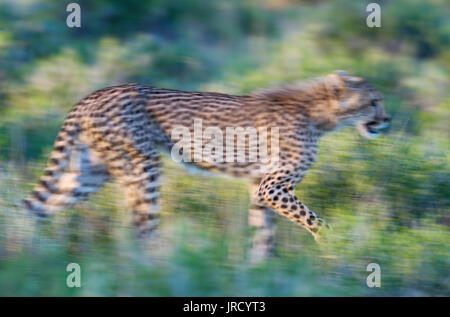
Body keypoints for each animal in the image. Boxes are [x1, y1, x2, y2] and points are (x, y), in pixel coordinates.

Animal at [23, 70, 390, 256]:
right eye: (373, 101)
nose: (387, 119)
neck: (318, 113)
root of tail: (93, 94)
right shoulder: (273, 187)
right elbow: (315, 221)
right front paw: (339, 248)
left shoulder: (259, 188)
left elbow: (263, 234)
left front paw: (260, 271)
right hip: (143, 166)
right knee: (142, 227)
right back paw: (156, 267)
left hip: (91, 171)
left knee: (38, 208)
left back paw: (30, 256)